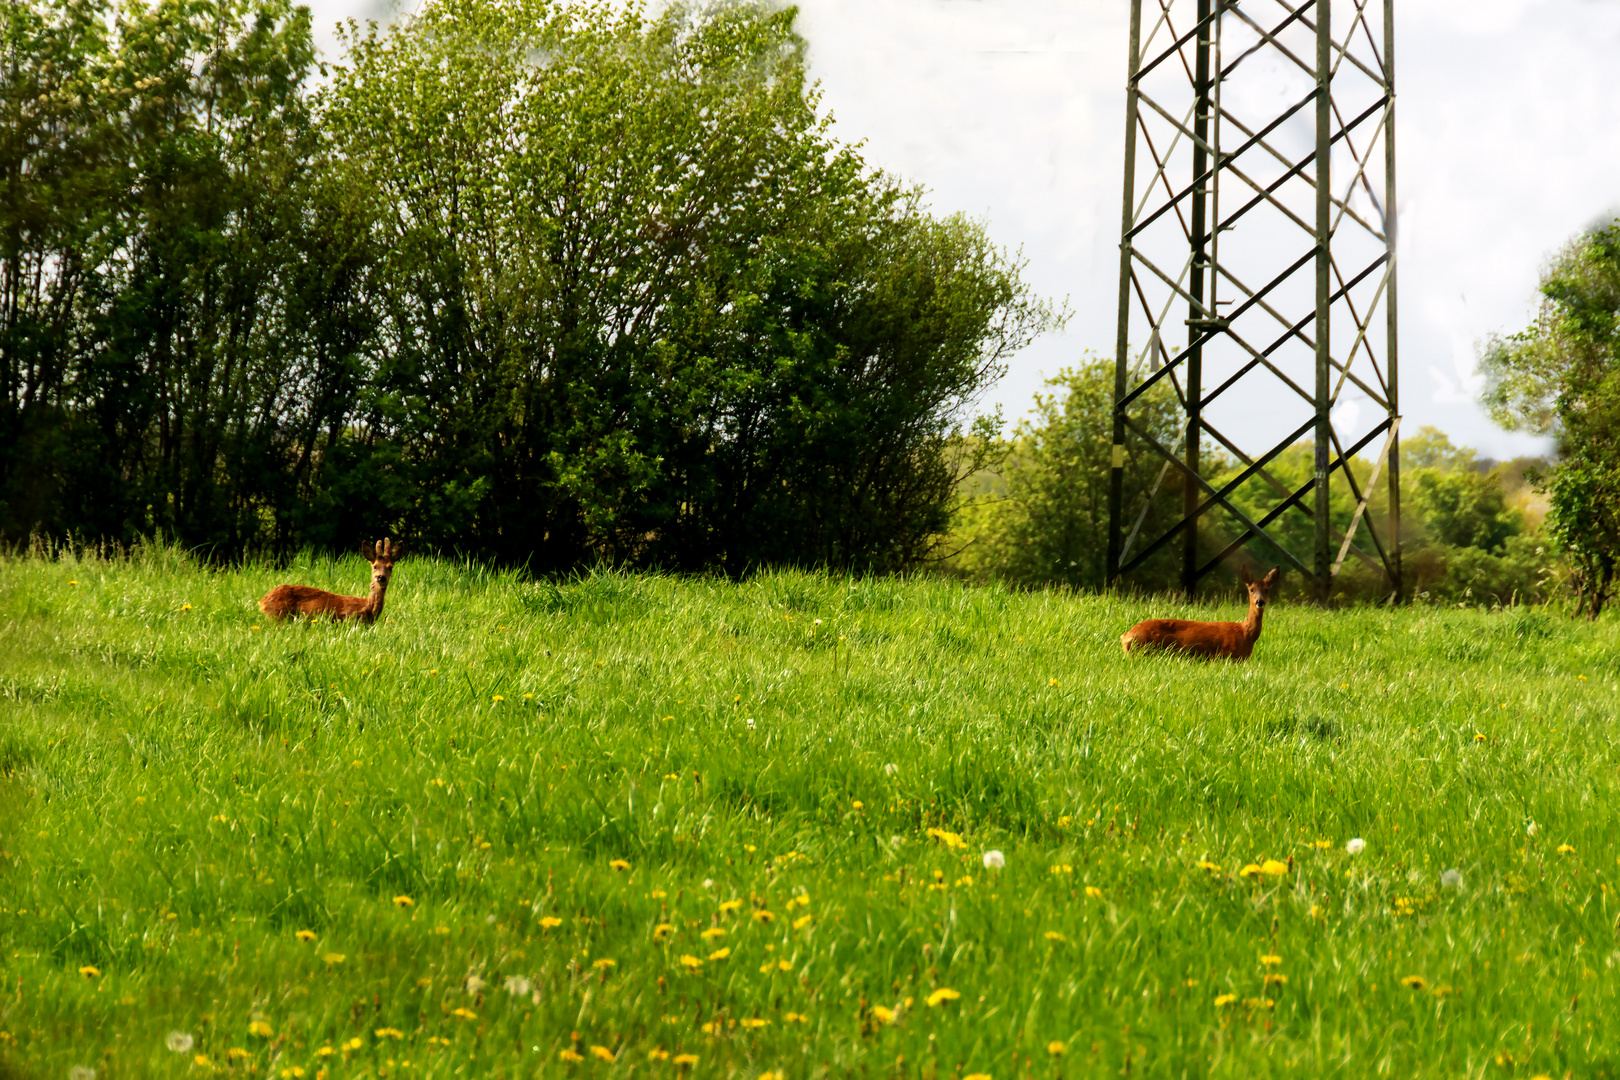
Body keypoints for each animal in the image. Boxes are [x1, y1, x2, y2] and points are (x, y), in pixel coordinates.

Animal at [257, 537, 403, 625]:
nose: (381, 577)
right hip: (278, 616)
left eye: (390, 567)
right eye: (375, 566)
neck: (367, 607)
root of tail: (262, 601)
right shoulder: (349, 619)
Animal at [1121, 566, 1283, 660]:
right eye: (1251, 589)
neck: (1245, 634)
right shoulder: (1225, 655)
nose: (1260, 602)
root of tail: (1125, 636)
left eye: (1267, 589)